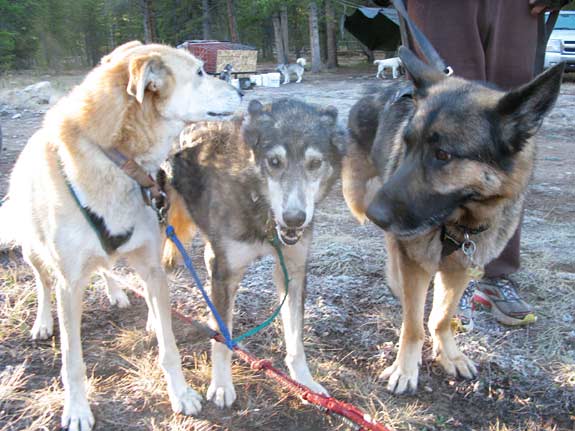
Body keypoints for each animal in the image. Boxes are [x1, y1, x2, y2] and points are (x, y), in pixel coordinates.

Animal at [0, 41, 242, 431]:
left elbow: (169, 347)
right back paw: (42, 322)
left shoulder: (152, 267)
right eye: (199, 72)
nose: (242, 91)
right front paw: (77, 409)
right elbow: (72, 361)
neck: (116, 159)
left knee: (107, 268)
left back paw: (123, 297)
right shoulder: (69, 284)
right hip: (33, 252)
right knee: (43, 283)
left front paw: (180, 393)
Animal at [160, 99, 344, 410]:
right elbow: (223, 337)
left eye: (315, 163)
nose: (295, 219)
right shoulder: (223, 271)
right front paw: (222, 385)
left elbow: (296, 340)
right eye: (274, 162)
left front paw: (305, 382)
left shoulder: (293, 271)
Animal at [342, 46, 564, 394]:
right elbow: (413, 324)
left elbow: (441, 317)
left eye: (443, 155)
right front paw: (405, 368)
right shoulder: (415, 261)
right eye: (407, 144)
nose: (375, 215)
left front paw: (449, 354)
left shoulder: (460, 265)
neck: (460, 220)